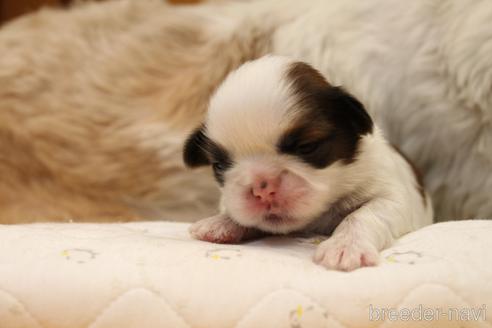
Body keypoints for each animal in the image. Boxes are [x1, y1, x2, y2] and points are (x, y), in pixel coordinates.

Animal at [183, 55, 432, 272]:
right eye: (220, 165)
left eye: (306, 147)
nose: (262, 189)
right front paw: (220, 222)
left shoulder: (390, 194)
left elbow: (363, 215)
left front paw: (344, 246)